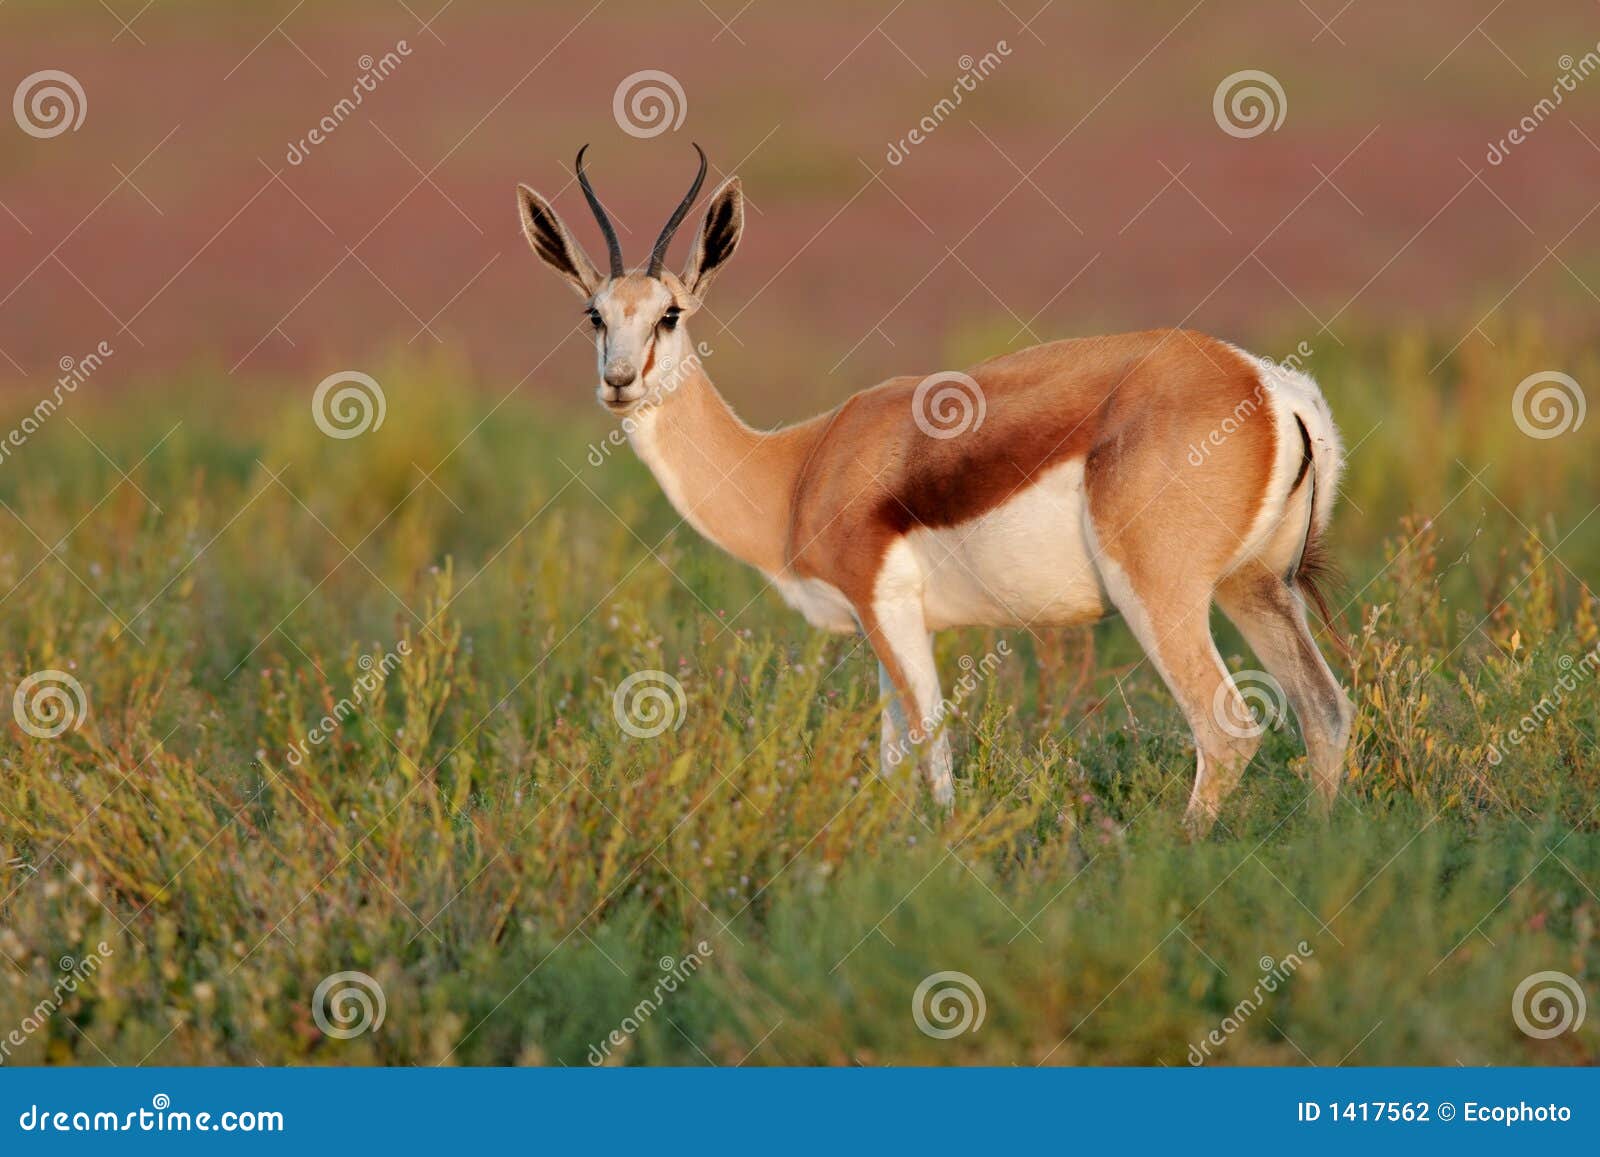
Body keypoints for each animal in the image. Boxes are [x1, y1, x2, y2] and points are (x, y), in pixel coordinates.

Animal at [518, 147, 1356, 832]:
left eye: (671, 313)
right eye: (595, 314)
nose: (619, 382)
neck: (797, 467)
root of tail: (1268, 386)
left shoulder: (887, 607)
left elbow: (931, 748)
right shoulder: (877, 626)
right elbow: (893, 759)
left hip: (1162, 594)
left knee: (1229, 728)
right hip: (1257, 587)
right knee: (1325, 711)